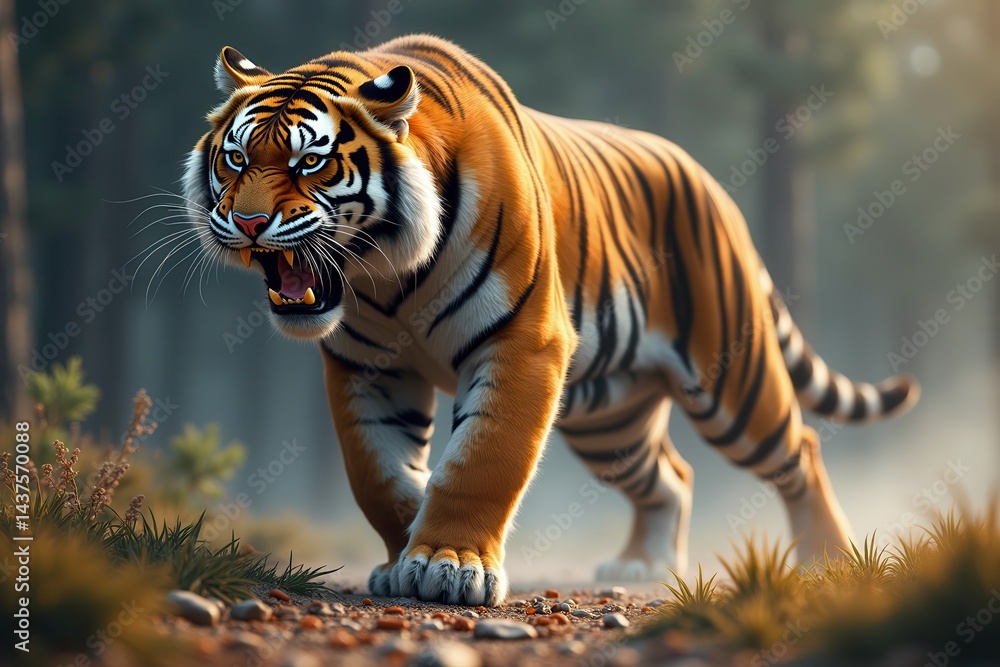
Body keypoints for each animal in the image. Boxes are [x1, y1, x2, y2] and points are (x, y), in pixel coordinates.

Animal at [183, 34, 918, 607]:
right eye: (236, 158)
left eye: (310, 161)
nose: (249, 223)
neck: (387, 277)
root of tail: (709, 182)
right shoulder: (364, 366)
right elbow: (379, 475)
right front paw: (402, 555)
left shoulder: (520, 343)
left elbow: (482, 460)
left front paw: (447, 564)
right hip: (608, 420)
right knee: (671, 476)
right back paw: (644, 565)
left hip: (732, 383)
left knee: (801, 449)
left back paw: (826, 558)